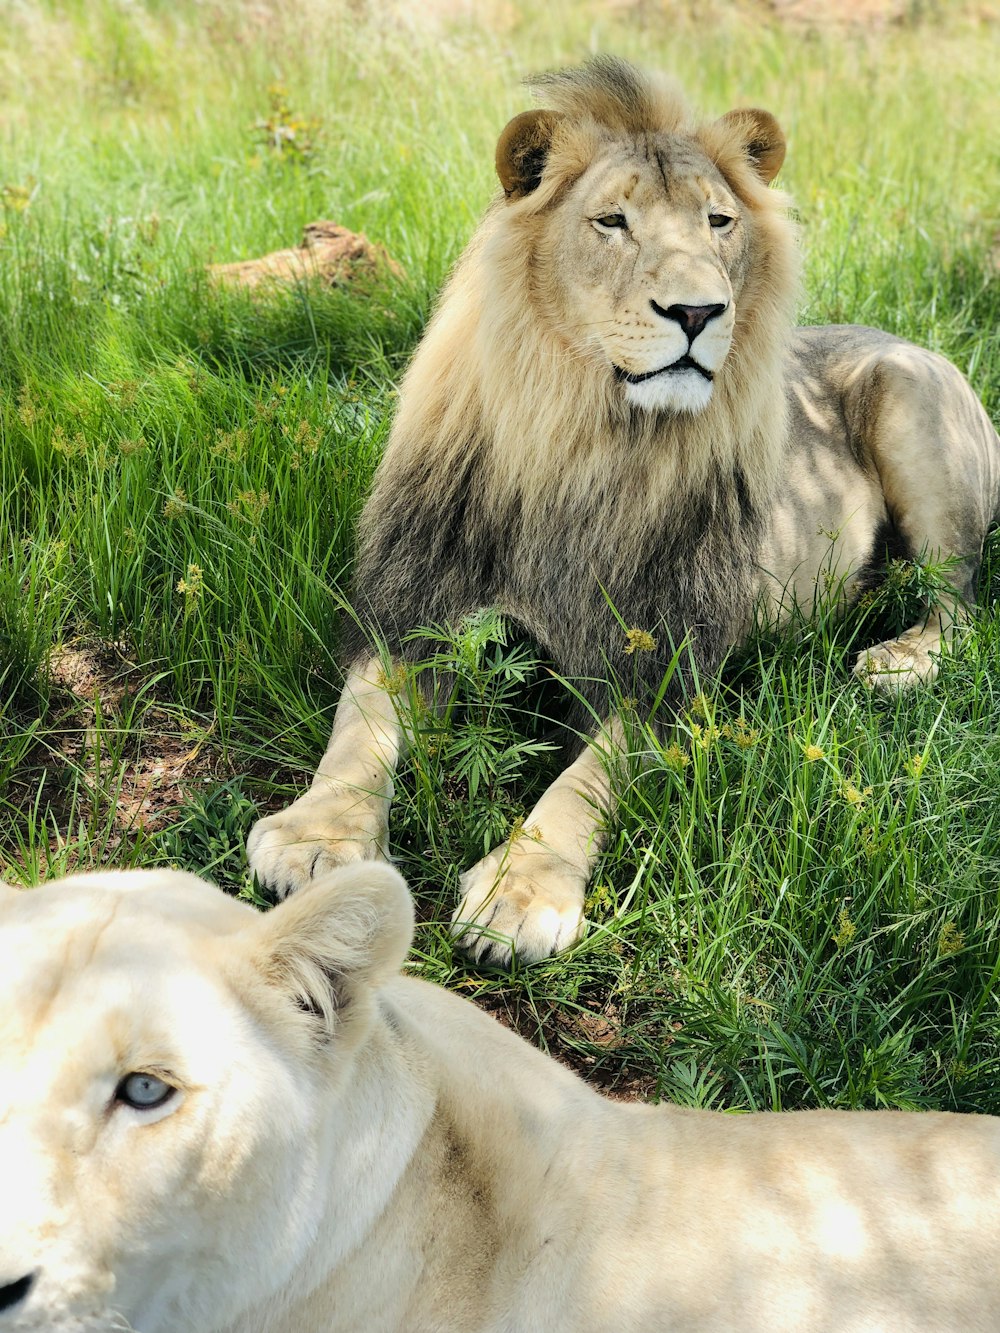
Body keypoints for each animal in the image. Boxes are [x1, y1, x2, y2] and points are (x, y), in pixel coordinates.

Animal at [245, 57, 1000, 965]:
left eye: (718, 222)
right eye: (612, 222)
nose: (698, 311)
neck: (585, 439)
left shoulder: (663, 660)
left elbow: (586, 778)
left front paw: (520, 892)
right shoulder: (414, 603)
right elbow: (362, 725)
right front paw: (318, 839)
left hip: (912, 397)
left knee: (961, 605)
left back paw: (899, 660)